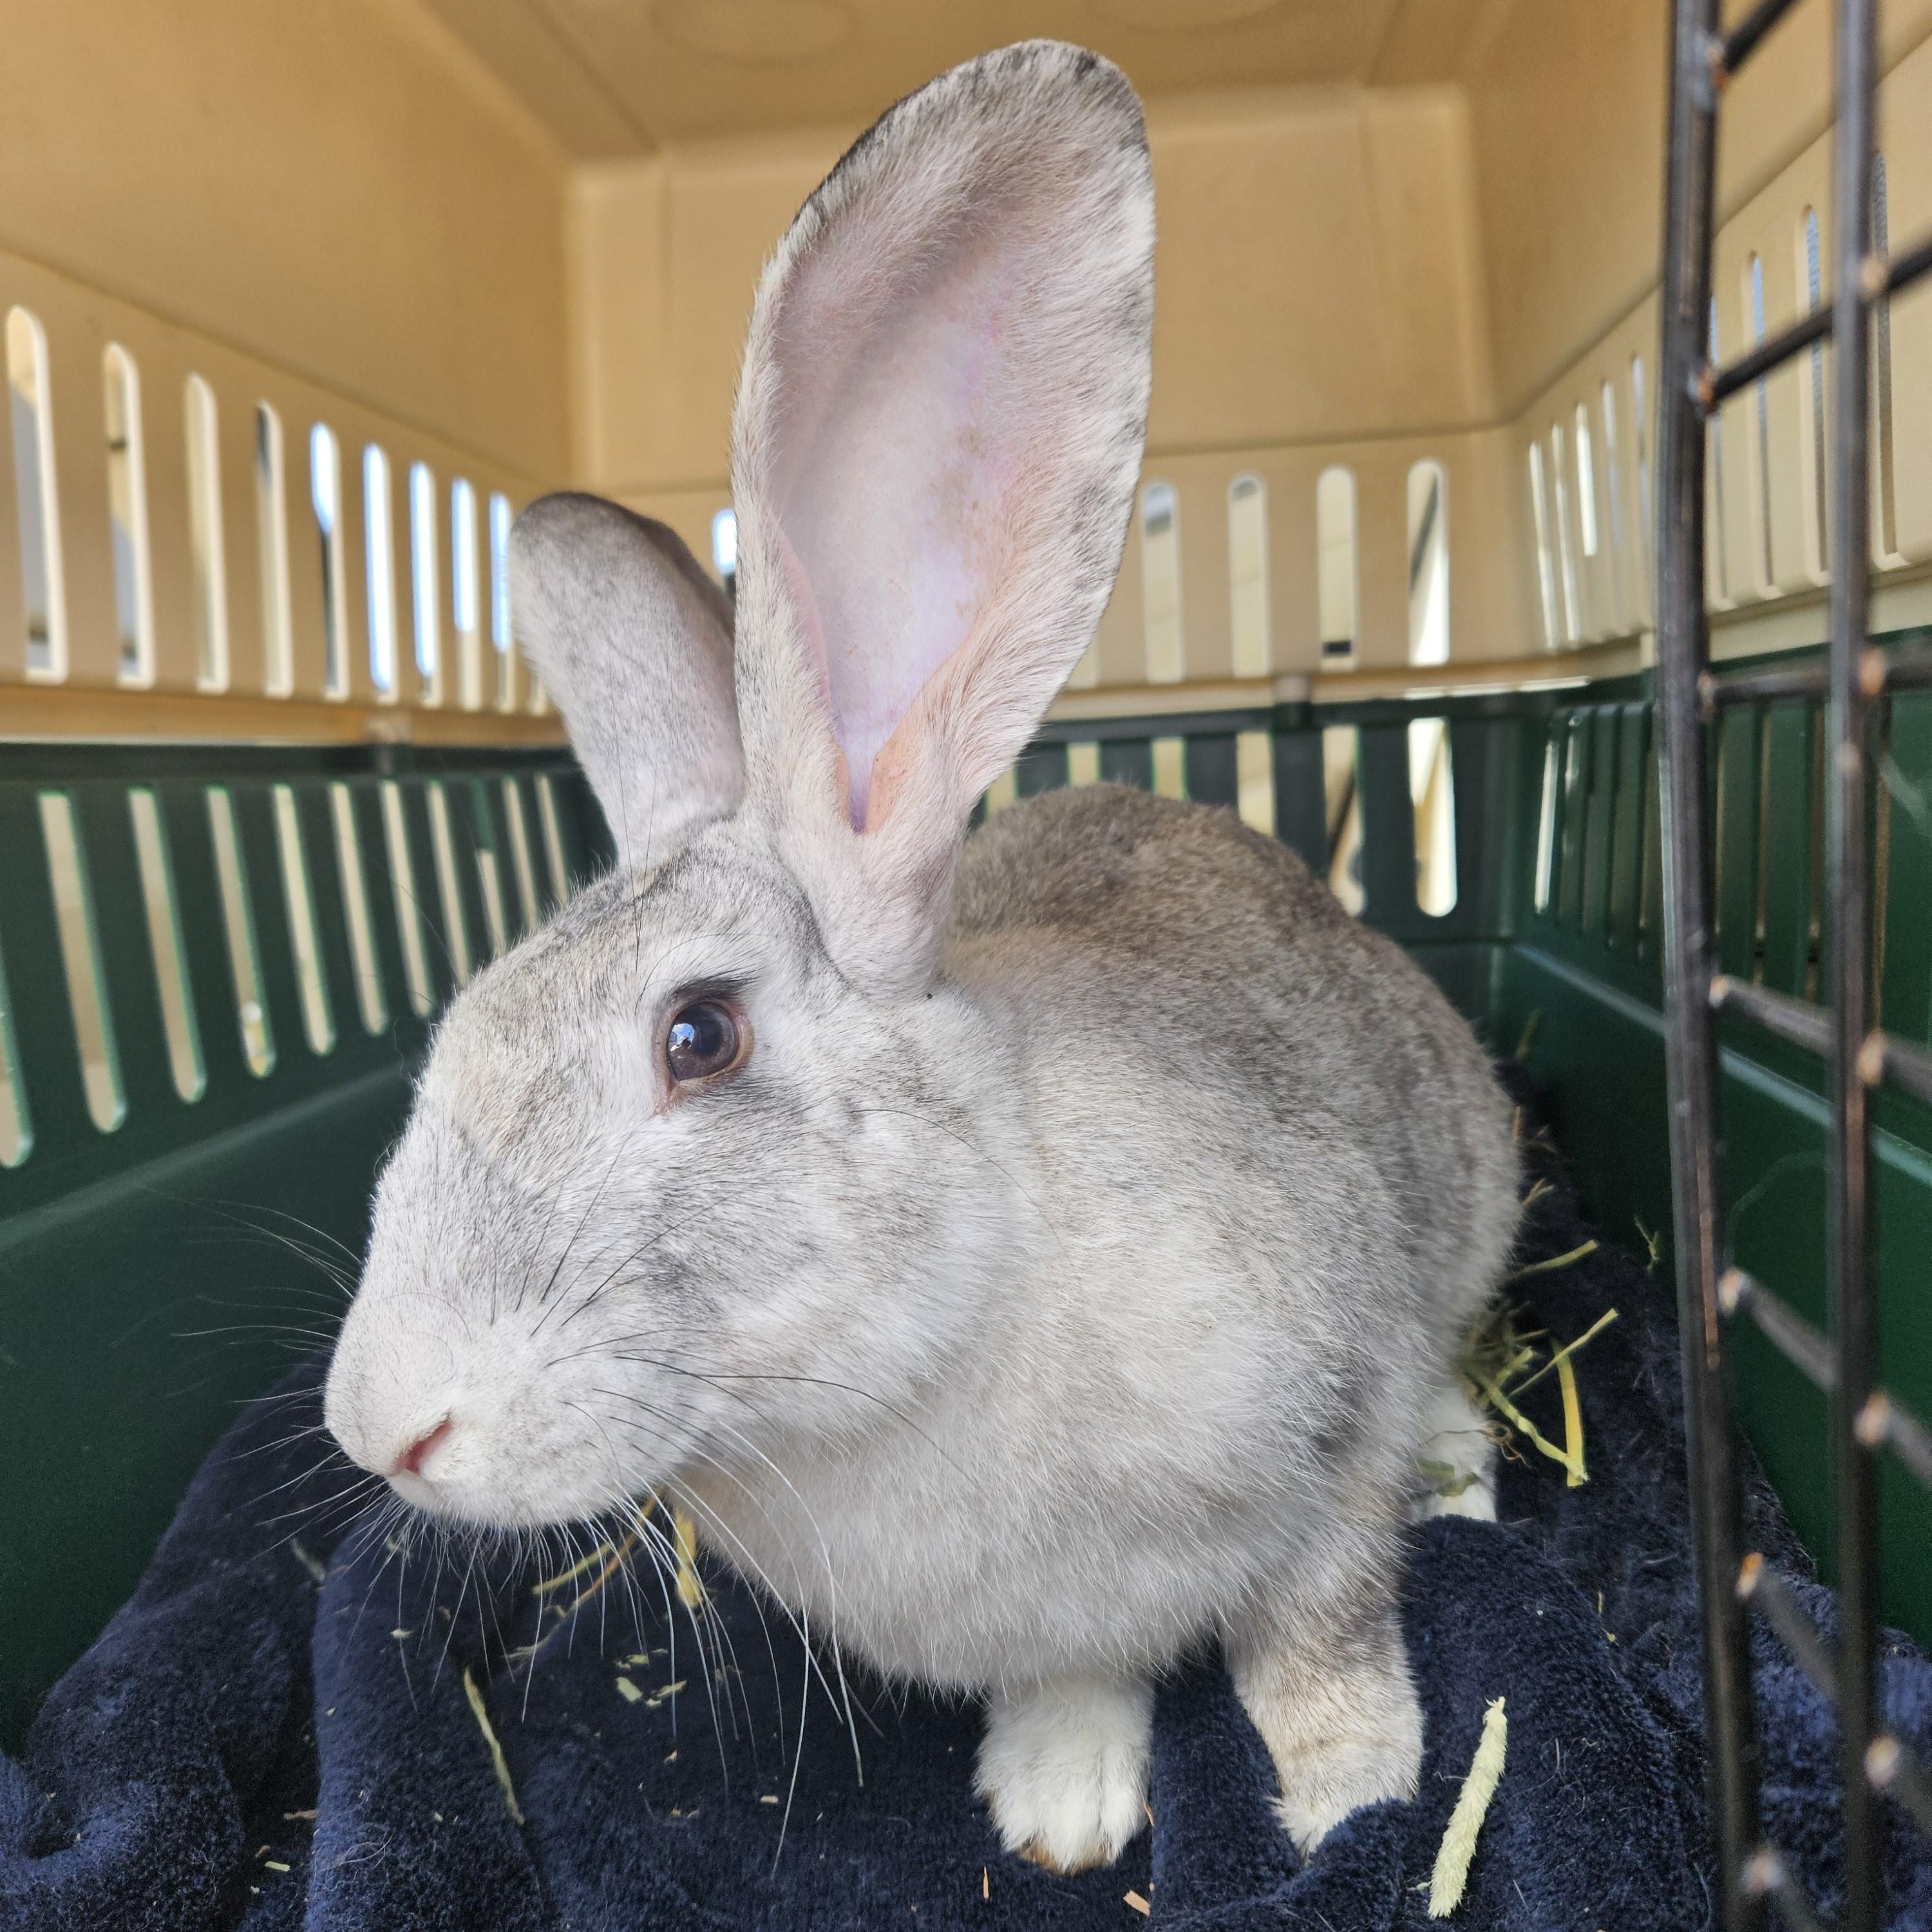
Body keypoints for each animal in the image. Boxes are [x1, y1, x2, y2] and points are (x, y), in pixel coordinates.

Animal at [322, 40, 1520, 1875]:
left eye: (699, 1035)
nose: (382, 1427)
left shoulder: (1336, 1433)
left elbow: (1315, 1631)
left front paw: (1352, 1805)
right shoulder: (1047, 1619)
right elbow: (1073, 1676)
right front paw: (1059, 1805)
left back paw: (1474, 1468)